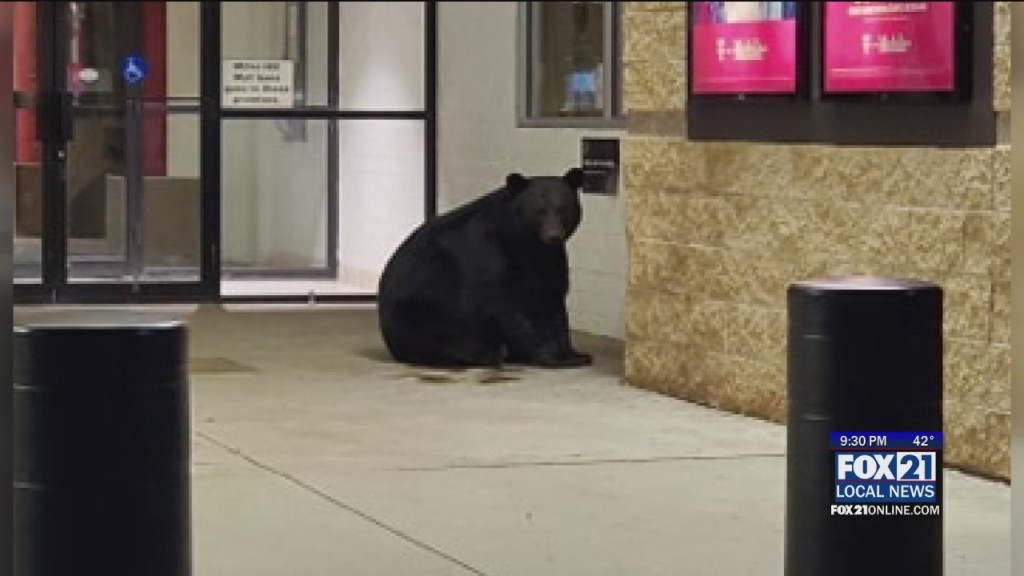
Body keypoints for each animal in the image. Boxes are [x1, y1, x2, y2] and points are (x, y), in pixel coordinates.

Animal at [377, 167, 592, 370]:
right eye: (539, 211)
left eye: (562, 209)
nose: (553, 236)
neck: (525, 242)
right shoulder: (491, 252)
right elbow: (507, 303)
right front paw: (549, 355)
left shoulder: (551, 259)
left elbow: (554, 300)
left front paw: (574, 354)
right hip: (423, 311)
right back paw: (482, 354)